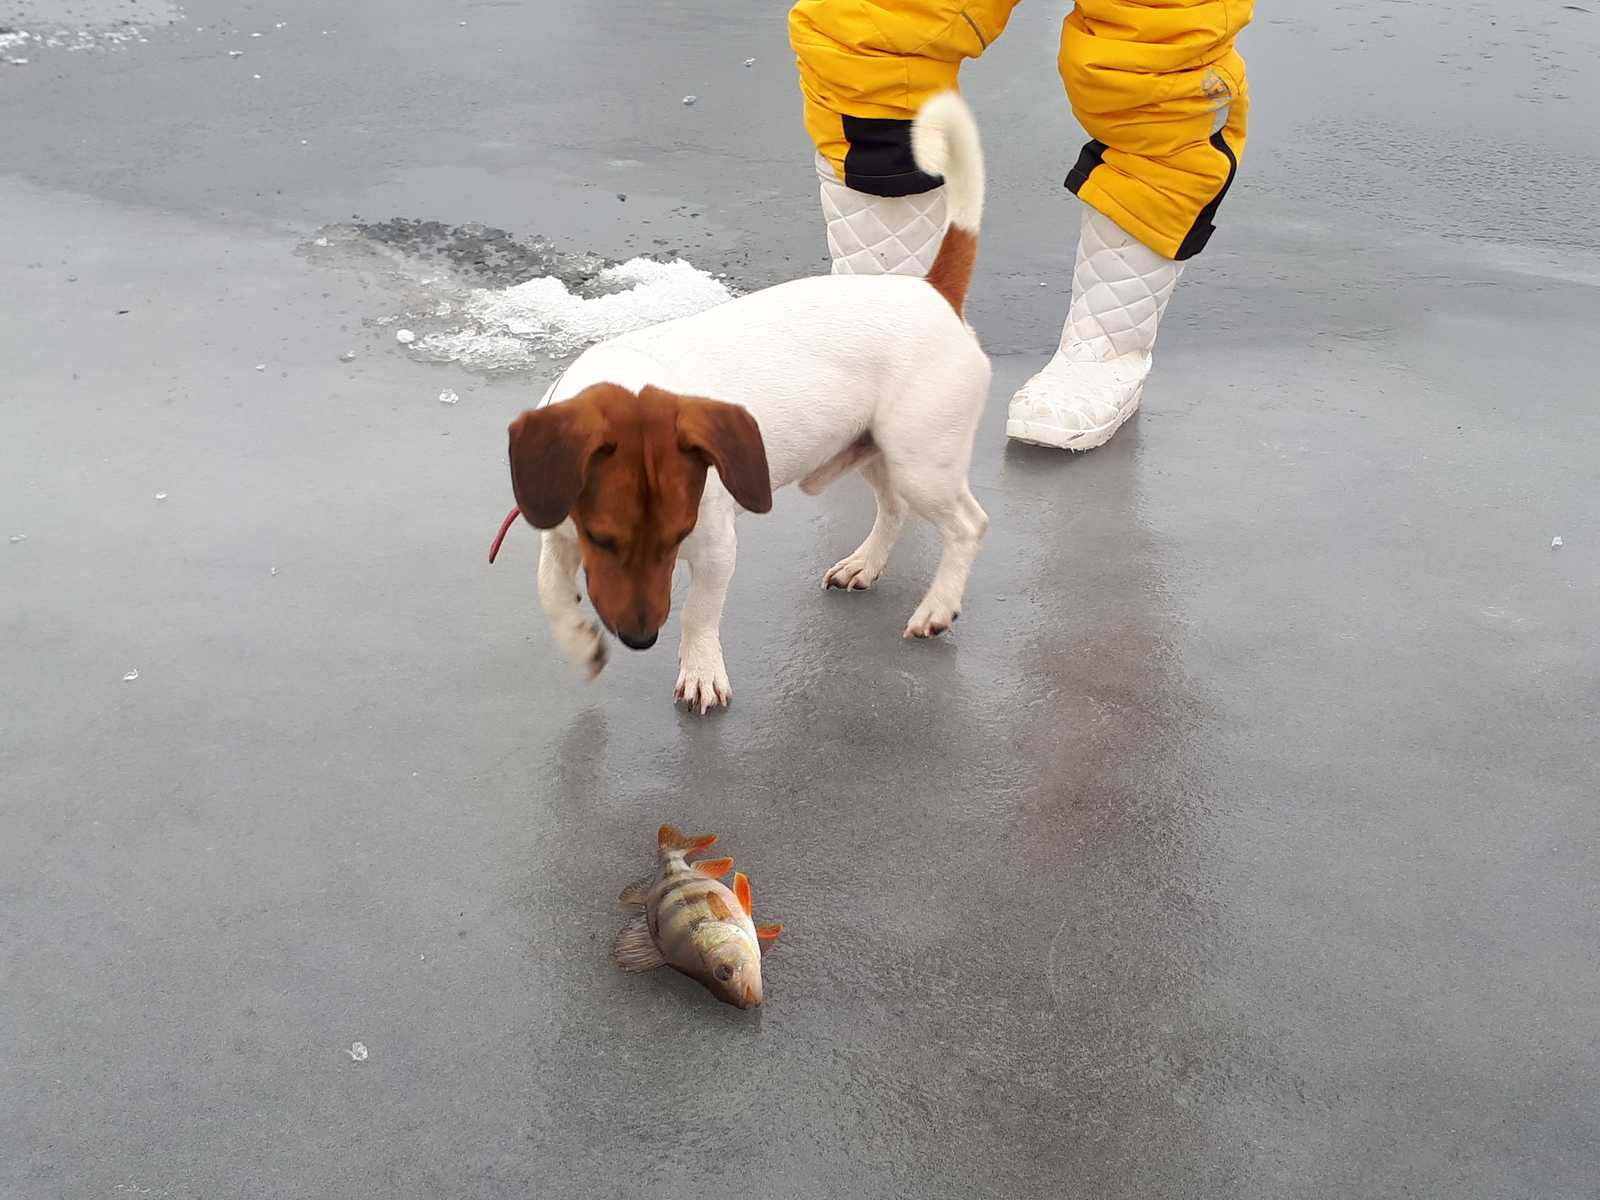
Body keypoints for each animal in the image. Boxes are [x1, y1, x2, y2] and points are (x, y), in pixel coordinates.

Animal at [505, 96, 992, 713]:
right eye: (602, 540)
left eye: (676, 538)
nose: (640, 639)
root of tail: (933, 291)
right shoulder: (560, 534)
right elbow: (548, 588)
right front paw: (578, 640)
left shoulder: (716, 549)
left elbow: (698, 612)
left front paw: (700, 671)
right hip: (878, 451)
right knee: (895, 509)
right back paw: (864, 564)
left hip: (921, 461)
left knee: (968, 526)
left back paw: (937, 608)